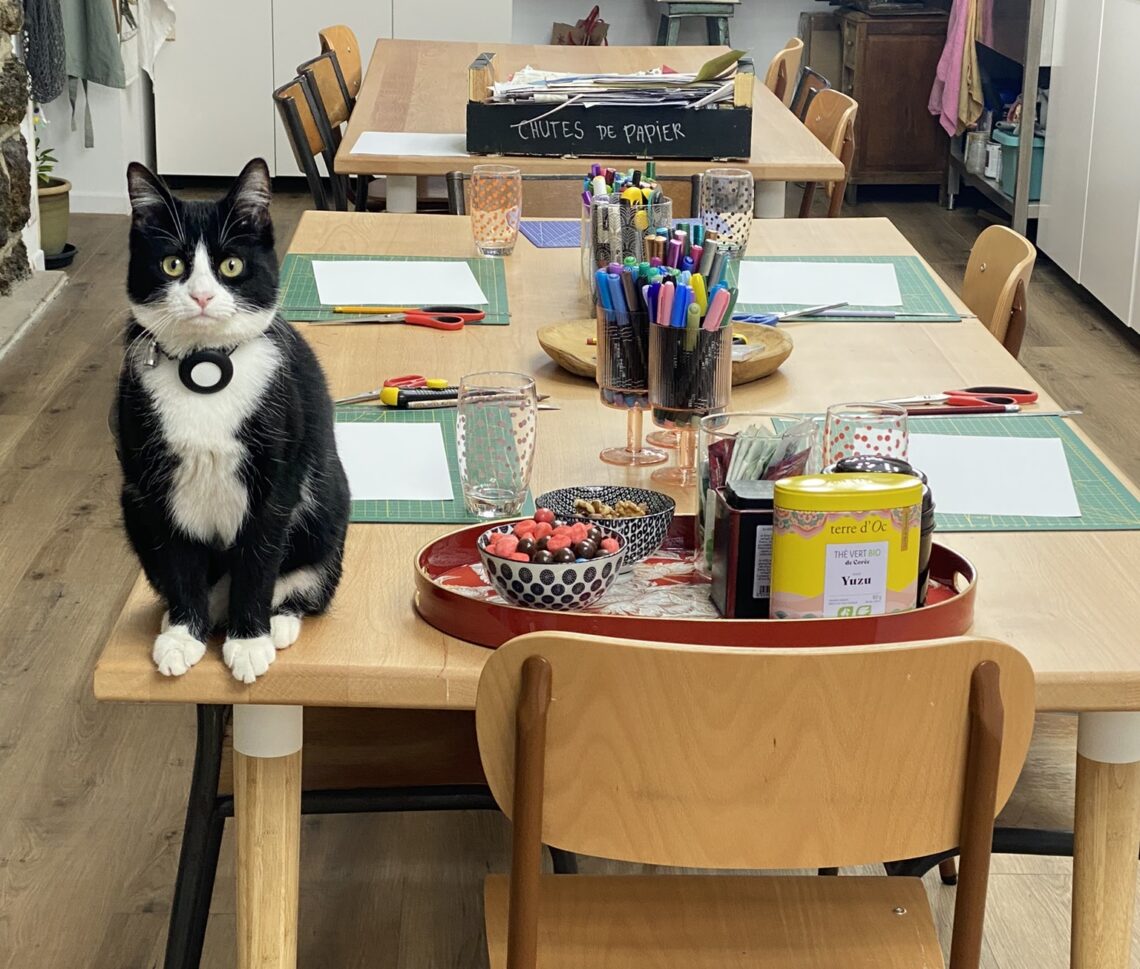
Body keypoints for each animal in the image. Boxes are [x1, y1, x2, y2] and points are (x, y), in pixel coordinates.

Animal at [115, 158, 348, 684]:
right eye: (173, 264)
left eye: (231, 266)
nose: (202, 296)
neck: (204, 373)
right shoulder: (154, 484)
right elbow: (178, 557)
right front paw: (184, 635)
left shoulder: (277, 479)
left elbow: (258, 560)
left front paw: (248, 641)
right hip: (130, 503)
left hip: (329, 506)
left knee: (306, 579)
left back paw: (279, 620)